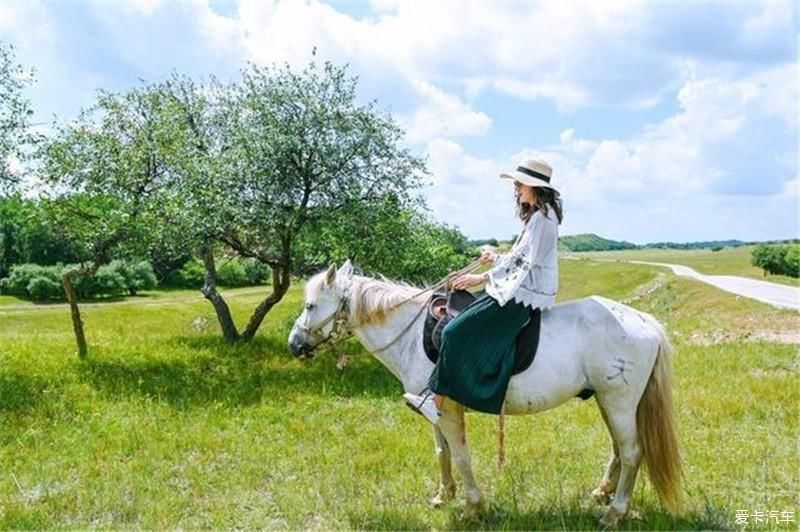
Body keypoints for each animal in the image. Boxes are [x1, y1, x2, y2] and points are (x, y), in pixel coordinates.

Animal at [288, 260, 680, 524]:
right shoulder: (434, 408)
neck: (411, 334)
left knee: (632, 452)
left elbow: (461, 456)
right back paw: (602, 493)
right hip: (606, 401)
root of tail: (645, 322)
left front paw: (473, 507)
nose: (294, 345)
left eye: (310, 305)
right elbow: (442, 453)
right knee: (617, 449)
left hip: (619, 402)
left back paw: (615, 513)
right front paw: (443, 496)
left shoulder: (448, 410)